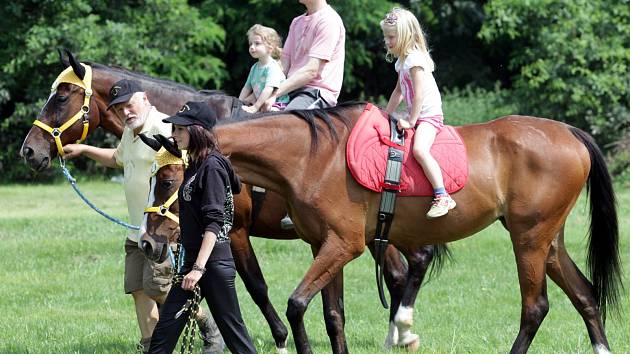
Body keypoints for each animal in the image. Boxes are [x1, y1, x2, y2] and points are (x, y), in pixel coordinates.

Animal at [18, 50, 444, 352]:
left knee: (409, 266)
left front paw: (278, 339)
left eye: (61, 97)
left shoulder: (233, 230)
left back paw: (401, 333)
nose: (30, 150)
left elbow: (254, 286)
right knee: (404, 269)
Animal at [188, 103, 624, 354]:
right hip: (549, 243)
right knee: (585, 295)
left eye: (184, 168)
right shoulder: (323, 246)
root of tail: (569, 132)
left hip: (529, 241)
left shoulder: (343, 246)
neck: (314, 156)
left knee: (535, 308)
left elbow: (294, 304)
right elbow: (333, 316)